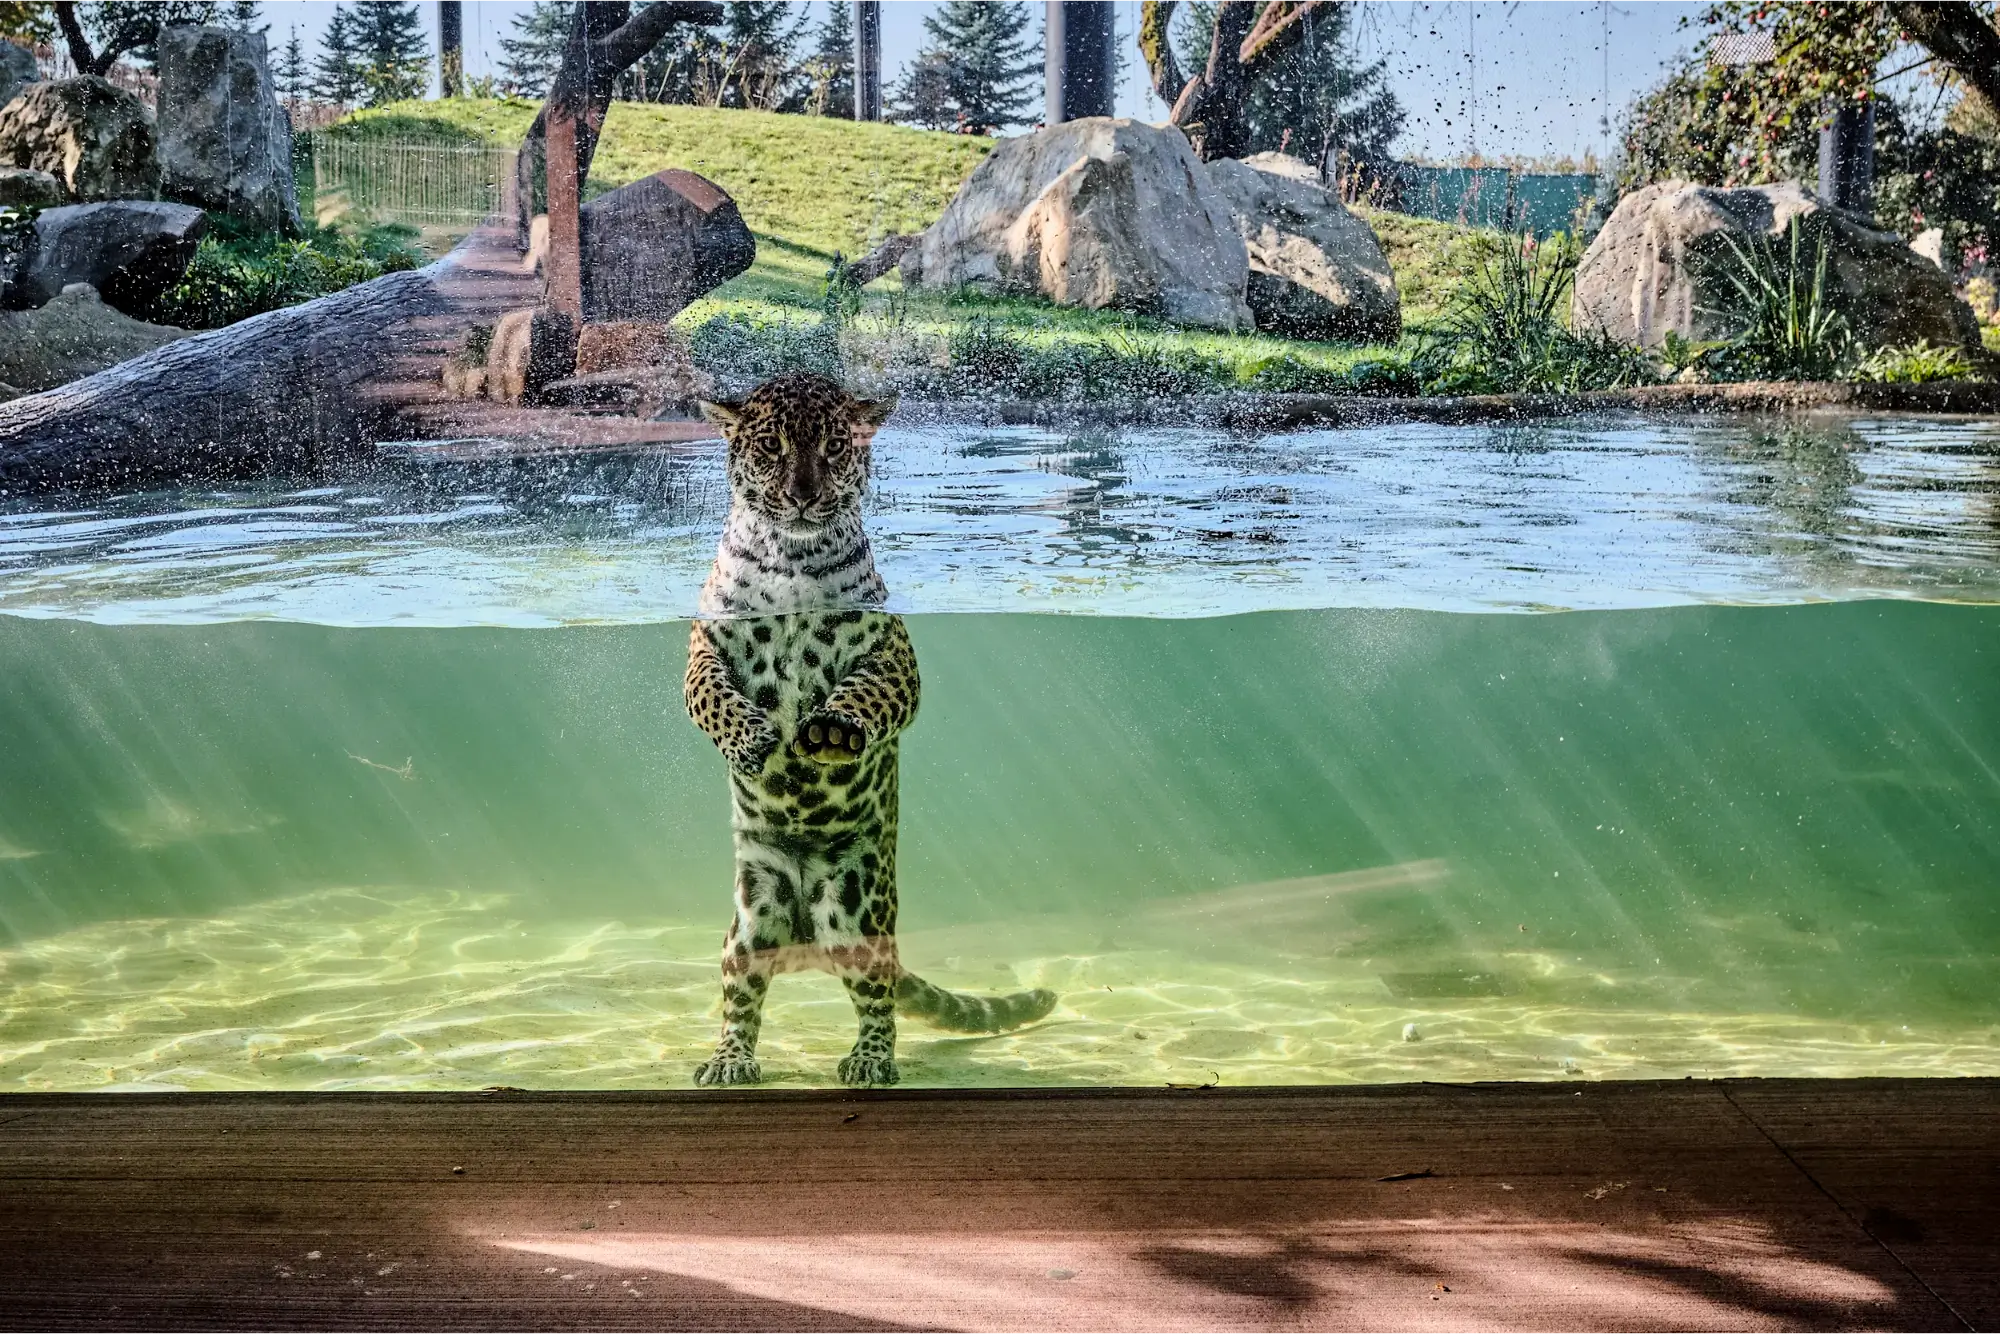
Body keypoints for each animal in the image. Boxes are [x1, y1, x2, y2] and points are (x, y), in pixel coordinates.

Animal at [685, 371, 1058, 1088]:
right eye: (770, 447)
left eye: (834, 447)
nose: (804, 496)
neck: (793, 564)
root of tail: (805, 940)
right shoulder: (703, 643)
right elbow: (707, 694)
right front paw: (750, 738)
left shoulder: (893, 654)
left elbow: (870, 691)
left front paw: (832, 730)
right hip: (750, 921)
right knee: (741, 996)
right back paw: (730, 1060)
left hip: (856, 912)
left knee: (876, 996)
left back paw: (870, 1059)